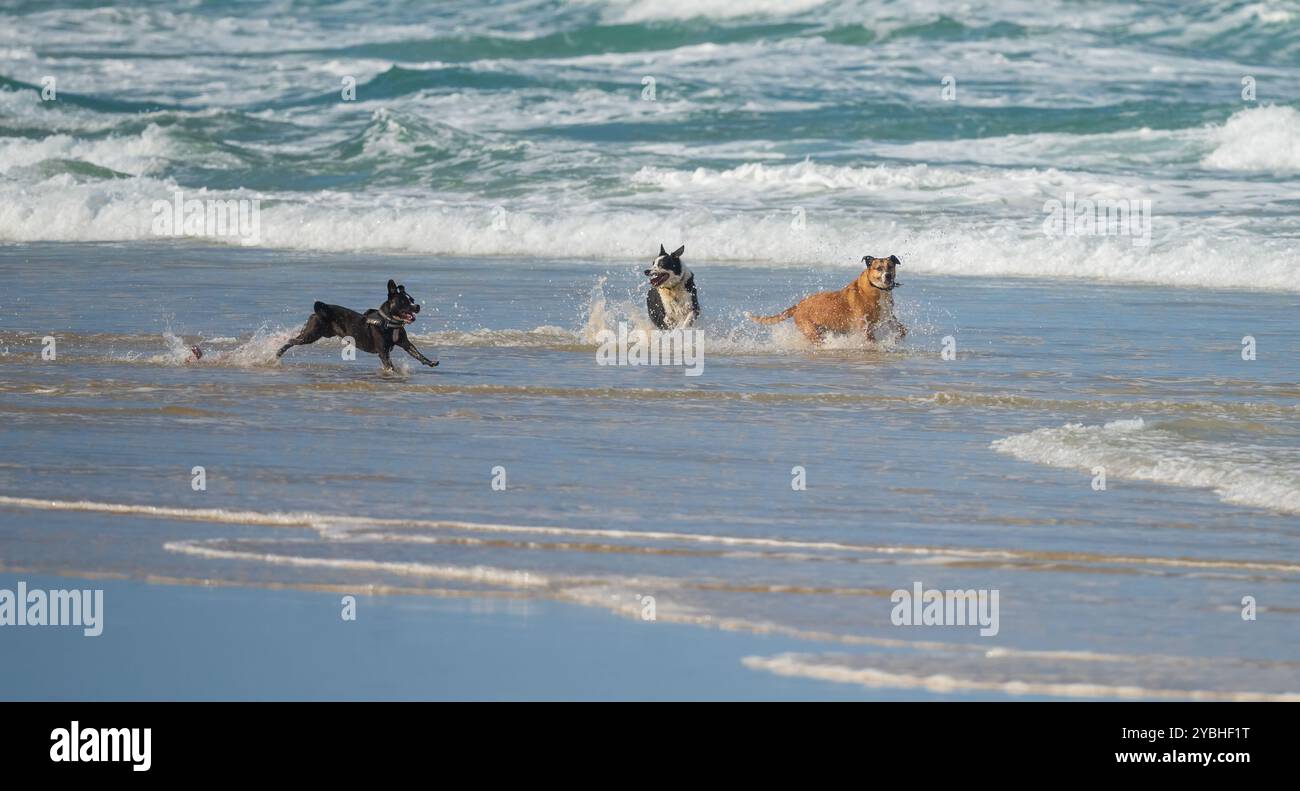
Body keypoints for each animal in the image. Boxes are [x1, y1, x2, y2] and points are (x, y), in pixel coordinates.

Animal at [754, 256, 904, 343]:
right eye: (879, 268)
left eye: (890, 266)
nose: (888, 276)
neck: (877, 289)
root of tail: (799, 305)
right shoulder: (864, 327)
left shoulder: (887, 317)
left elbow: (902, 330)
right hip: (811, 330)